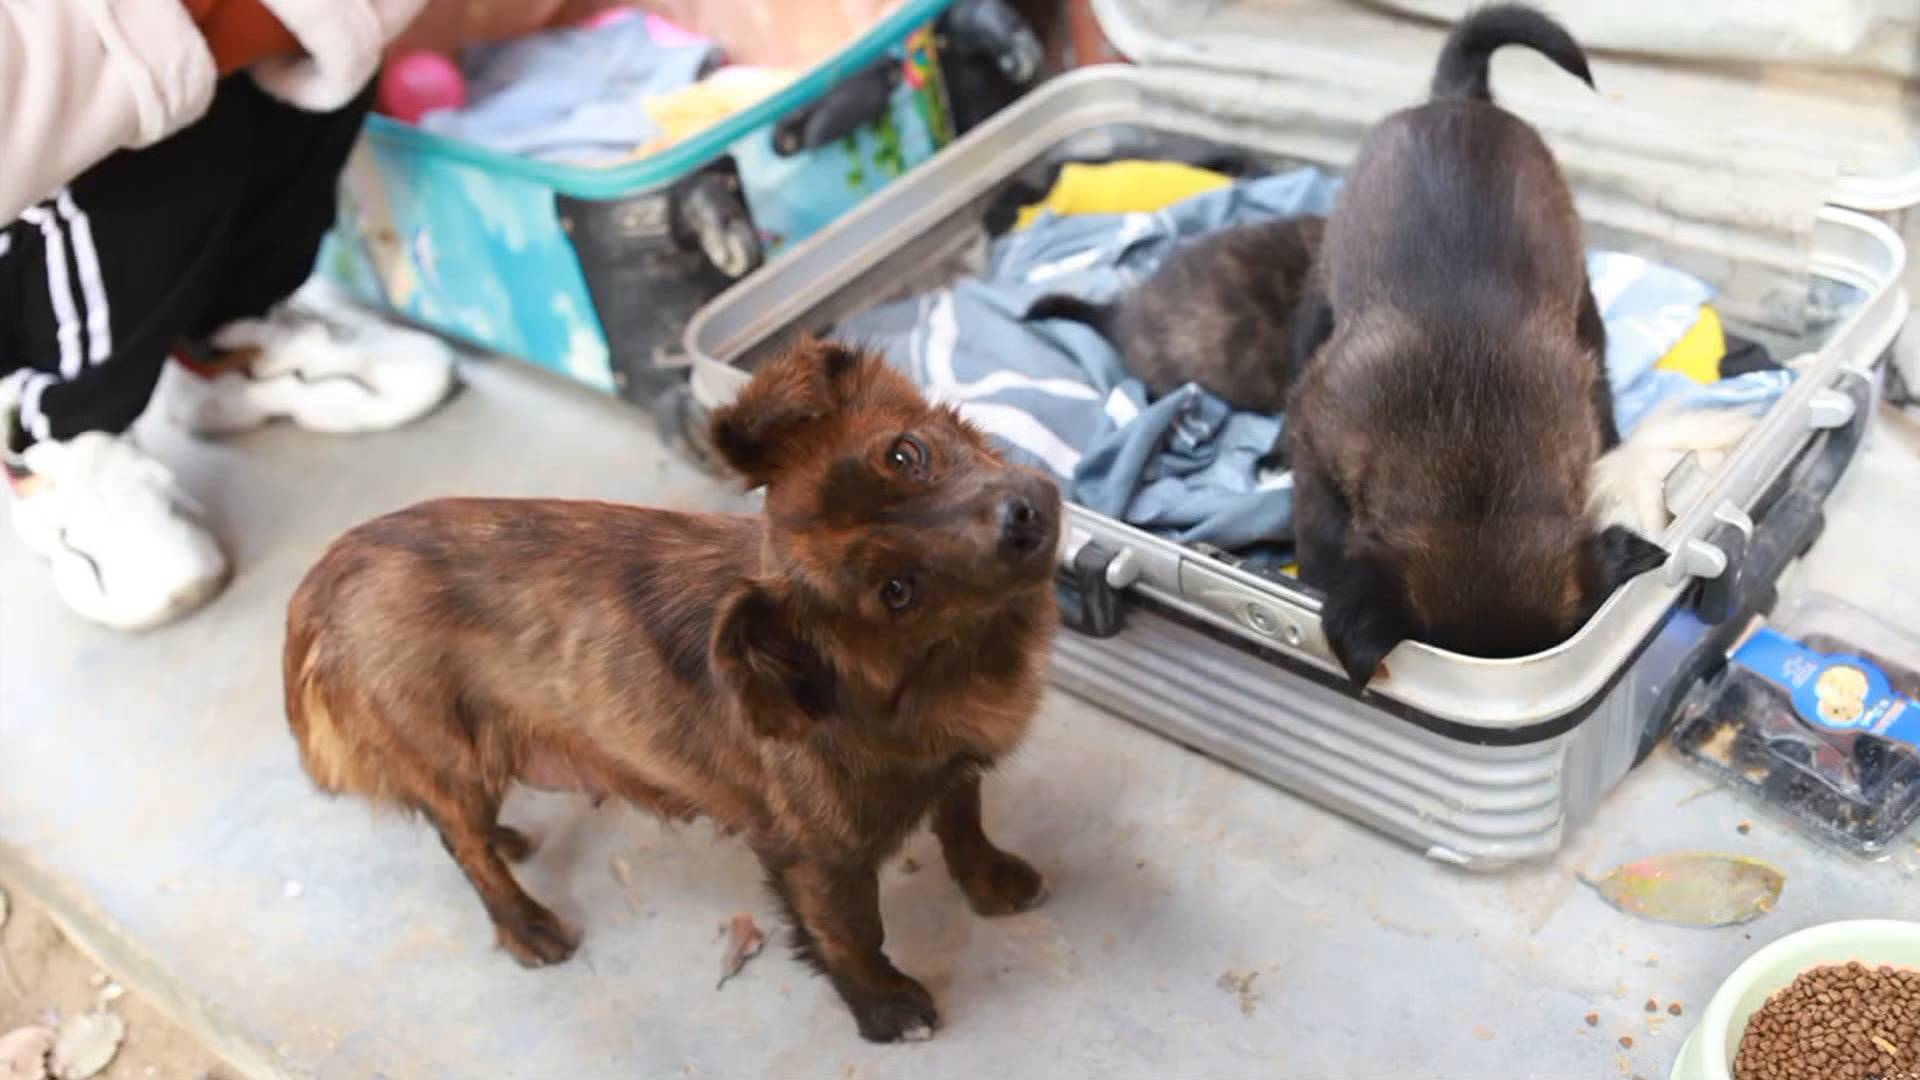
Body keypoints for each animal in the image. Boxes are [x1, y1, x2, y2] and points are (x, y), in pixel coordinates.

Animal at [284, 334, 1067, 1037]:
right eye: (897, 592)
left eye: (907, 453)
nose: (1023, 521)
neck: (937, 672)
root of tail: (326, 577)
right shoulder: (813, 857)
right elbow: (851, 934)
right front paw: (884, 1009)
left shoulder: (955, 769)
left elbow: (962, 821)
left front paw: (990, 881)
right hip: (445, 753)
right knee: (463, 846)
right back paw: (525, 924)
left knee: (457, 829)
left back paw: (505, 838)